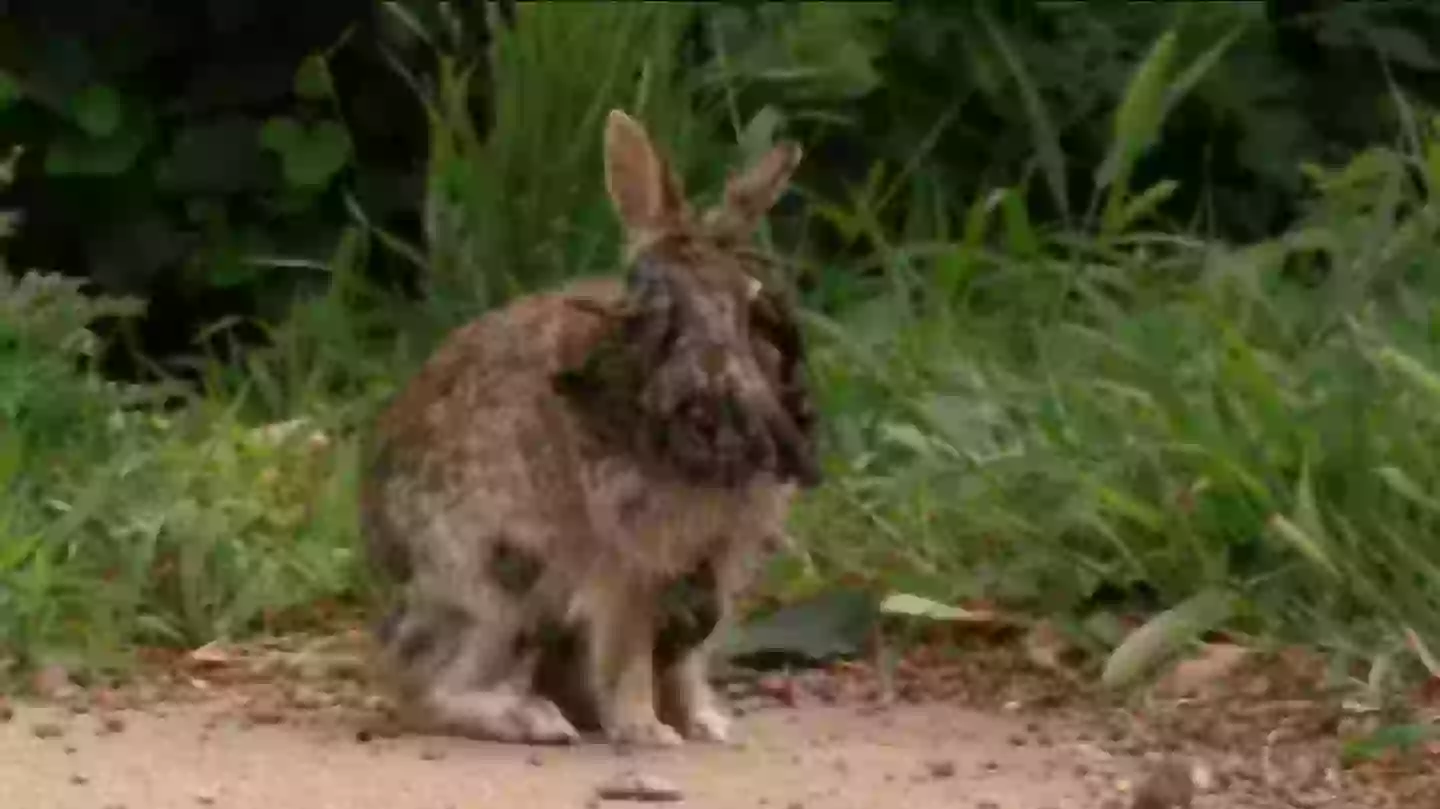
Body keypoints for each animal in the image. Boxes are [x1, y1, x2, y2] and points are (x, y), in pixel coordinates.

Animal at [359, 108, 820, 749]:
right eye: (660, 309)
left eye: (753, 306)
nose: (714, 375)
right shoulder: (626, 566)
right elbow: (629, 654)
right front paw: (649, 731)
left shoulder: (714, 565)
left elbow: (685, 662)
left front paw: (707, 725)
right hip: (496, 590)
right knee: (429, 686)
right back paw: (534, 720)